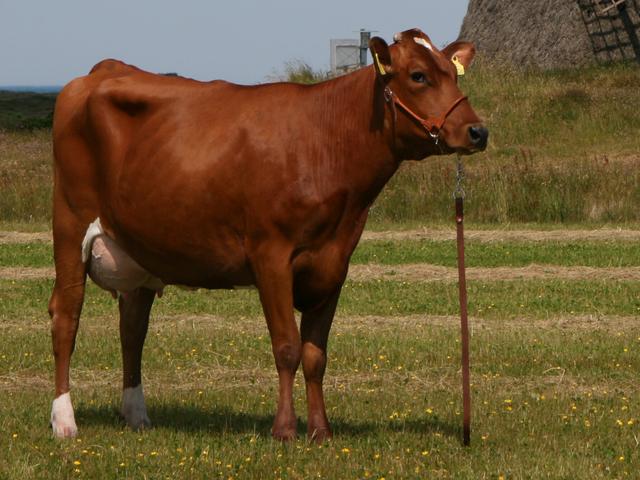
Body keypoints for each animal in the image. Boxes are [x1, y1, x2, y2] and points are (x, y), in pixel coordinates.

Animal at [48, 28, 488, 441]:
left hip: (139, 247)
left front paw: (320, 430)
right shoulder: (271, 254)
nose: (477, 131)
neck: (326, 144)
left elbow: (315, 355)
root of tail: (102, 70)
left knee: (132, 327)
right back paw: (65, 421)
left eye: (454, 74)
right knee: (67, 316)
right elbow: (287, 347)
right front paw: (285, 430)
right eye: (418, 76)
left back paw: (137, 415)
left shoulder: (335, 263)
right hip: (70, 222)